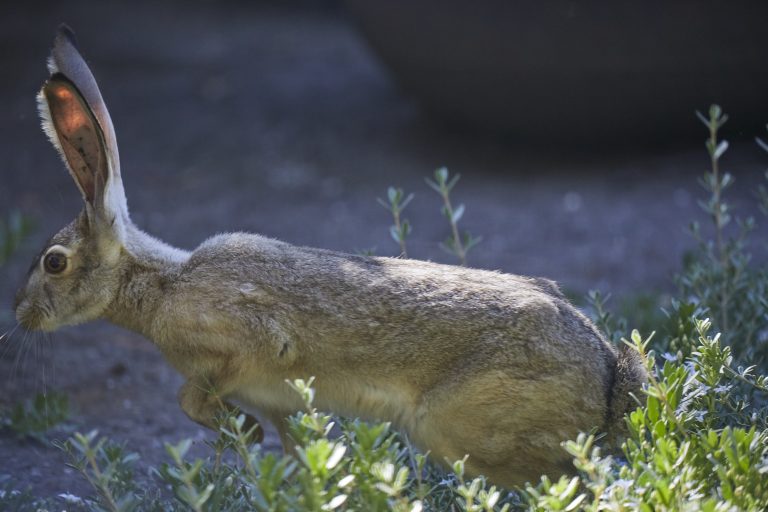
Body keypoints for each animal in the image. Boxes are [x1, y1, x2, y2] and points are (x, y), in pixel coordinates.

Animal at [14, 26, 647, 488]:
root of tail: (607, 379)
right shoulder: (283, 403)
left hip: (461, 431)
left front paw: (237, 429)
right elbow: (300, 455)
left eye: (54, 263)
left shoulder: (251, 345)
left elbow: (192, 394)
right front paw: (266, 449)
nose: (19, 315)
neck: (161, 282)